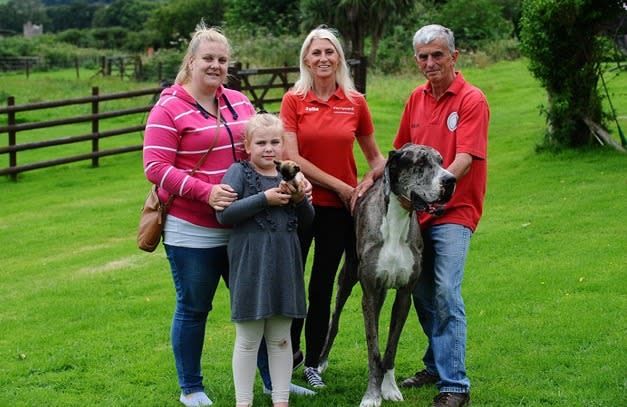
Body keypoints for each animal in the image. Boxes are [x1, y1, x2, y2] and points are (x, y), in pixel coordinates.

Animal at [318, 143, 456, 407]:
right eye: (420, 163)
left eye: (441, 161)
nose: (451, 179)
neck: (396, 221)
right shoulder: (369, 293)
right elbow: (373, 350)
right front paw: (372, 395)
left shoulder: (404, 295)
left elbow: (390, 347)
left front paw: (389, 388)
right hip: (348, 278)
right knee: (335, 319)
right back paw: (320, 363)